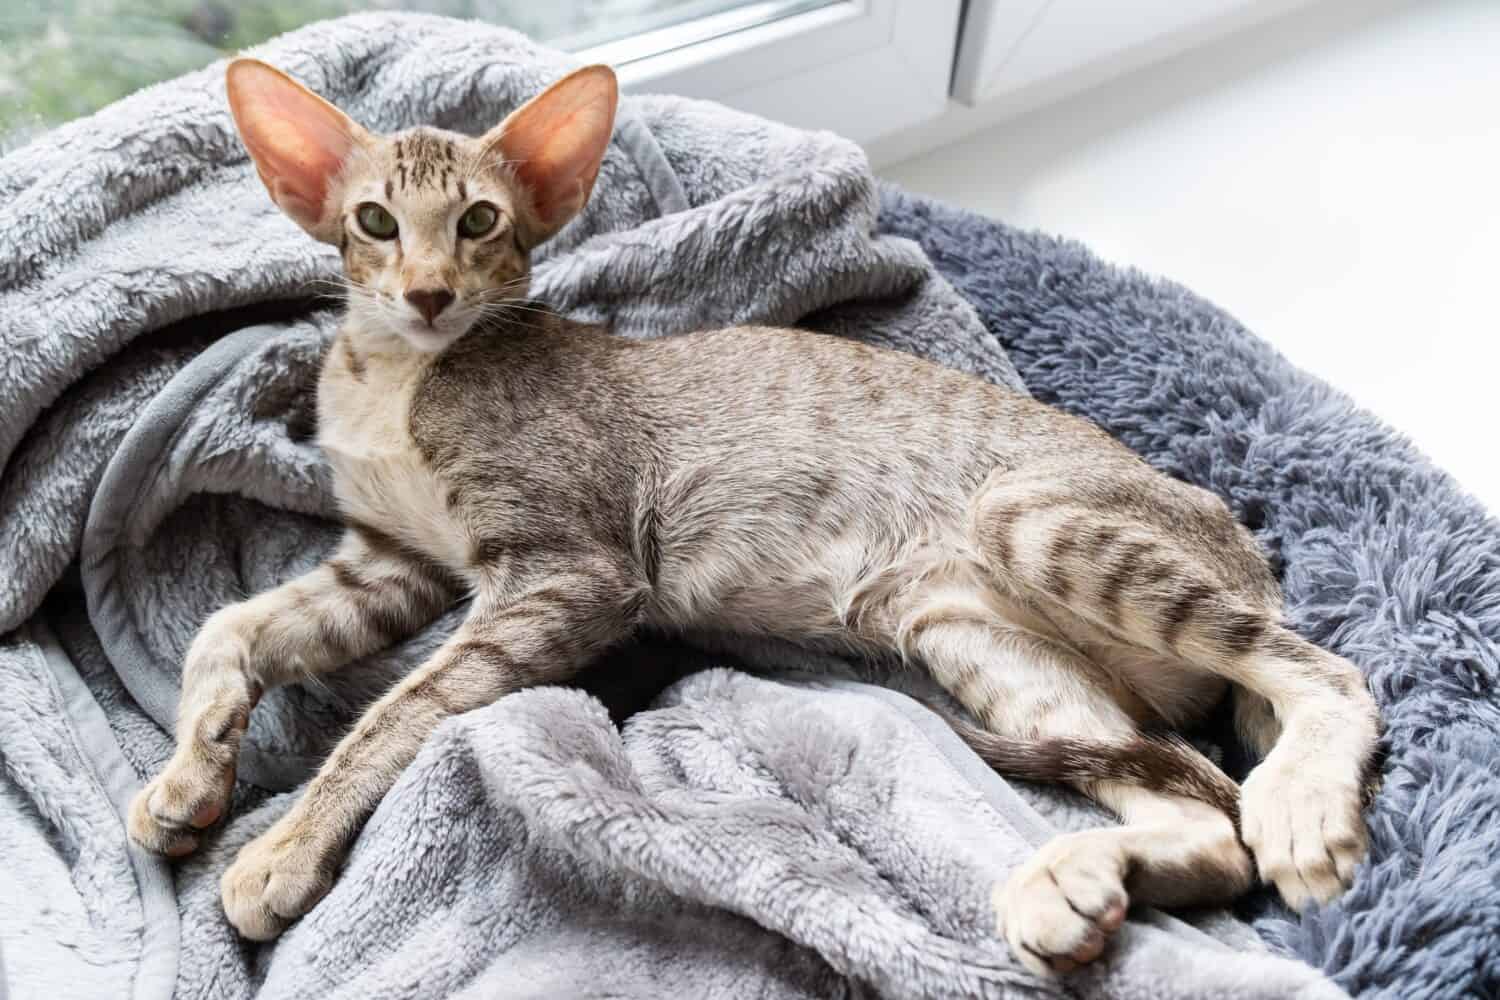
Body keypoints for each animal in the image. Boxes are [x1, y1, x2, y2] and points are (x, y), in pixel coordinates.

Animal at [132, 56, 1380, 977]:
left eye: (480, 219)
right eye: (376, 222)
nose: (431, 292)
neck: (398, 370)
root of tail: (1249, 549)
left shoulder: (567, 571)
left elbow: (400, 711)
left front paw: (282, 849)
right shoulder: (392, 562)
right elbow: (228, 629)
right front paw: (190, 779)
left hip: (1026, 515)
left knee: (1322, 680)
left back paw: (1302, 808)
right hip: (968, 629)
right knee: (1206, 820)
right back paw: (1078, 879)